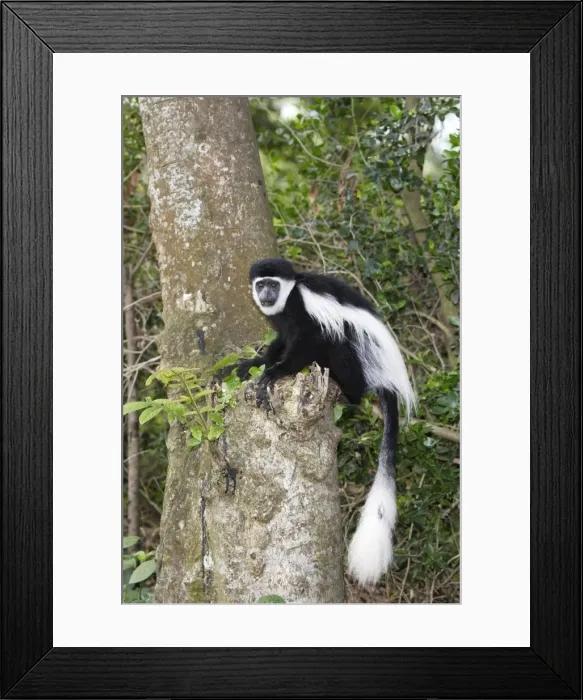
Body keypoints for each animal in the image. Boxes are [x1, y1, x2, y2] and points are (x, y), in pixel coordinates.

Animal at [233, 257, 415, 587]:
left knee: (339, 341)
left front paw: (274, 374)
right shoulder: (283, 322)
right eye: (261, 284)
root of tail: (390, 378)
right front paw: (253, 365)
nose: (265, 294)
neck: (290, 296)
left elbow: (309, 340)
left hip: (359, 356)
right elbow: (282, 341)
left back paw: (349, 392)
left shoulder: (304, 311)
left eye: (273, 284)